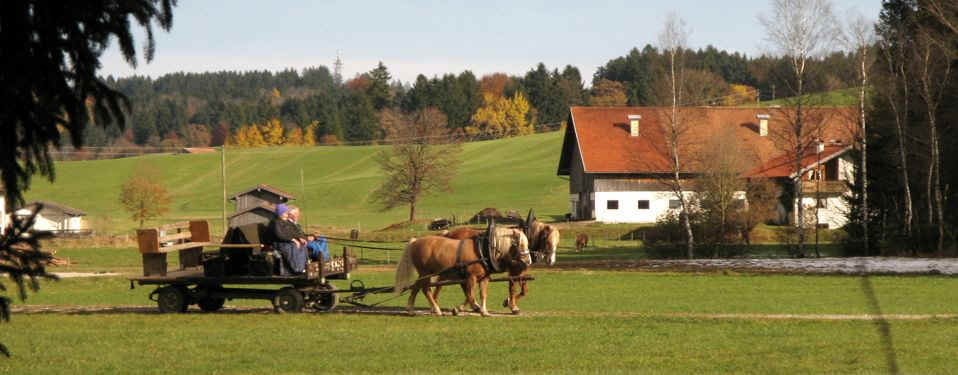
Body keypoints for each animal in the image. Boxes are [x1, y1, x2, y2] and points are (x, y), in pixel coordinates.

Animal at [398, 226, 532, 318]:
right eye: (520, 244)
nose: (528, 261)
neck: (483, 250)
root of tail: (415, 241)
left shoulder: (484, 278)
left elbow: (483, 294)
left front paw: (484, 311)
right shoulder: (471, 277)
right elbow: (471, 294)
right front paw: (466, 308)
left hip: (424, 273)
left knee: (417, 286)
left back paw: (411, 309)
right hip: (425, 273)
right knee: (426, 289)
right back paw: (436, 309)